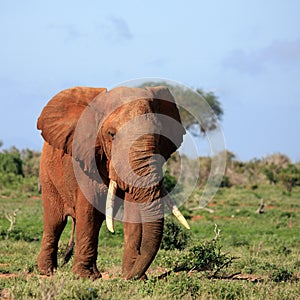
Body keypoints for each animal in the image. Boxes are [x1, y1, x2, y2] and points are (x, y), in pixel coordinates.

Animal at [36, 85, 189, 280]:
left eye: (158, 135)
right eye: (111, 134)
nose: (133, 276)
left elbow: (133, 212)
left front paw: (133, 277)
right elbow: (88, 208)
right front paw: (84, 277)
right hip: (47, 174)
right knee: (55, 221)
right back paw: (47, 272)